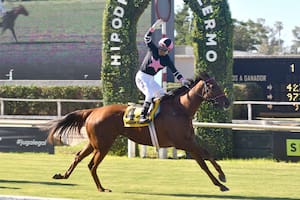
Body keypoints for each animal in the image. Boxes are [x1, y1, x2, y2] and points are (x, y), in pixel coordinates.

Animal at [47, 72, 231, 192]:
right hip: (103, 145)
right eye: (212, 86)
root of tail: (94, 111)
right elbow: (203, 161)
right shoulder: (183, 142)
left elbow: (206, 156)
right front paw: (221, 181)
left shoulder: (189, 141)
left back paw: (62, 176)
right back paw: (101, 188)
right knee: (92, 164)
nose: (227, 102)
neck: (181, 109)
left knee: (78, 156)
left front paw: (221, 178)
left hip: (95, 143)